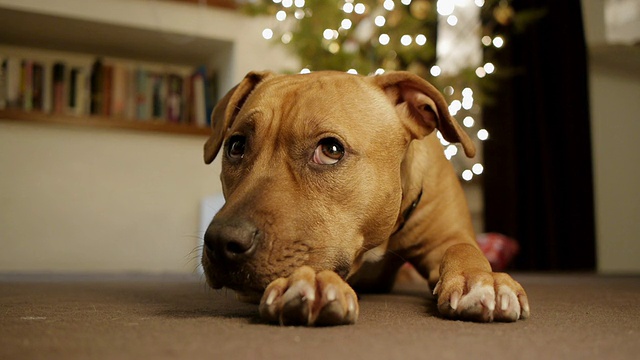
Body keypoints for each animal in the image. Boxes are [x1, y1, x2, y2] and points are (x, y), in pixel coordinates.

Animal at [201, 69, 528, 324]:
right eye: (236, 146)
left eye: (330, 149)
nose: (221, 241)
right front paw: (310, 281)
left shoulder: (446, 238)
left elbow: (463, 250)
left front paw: (482, 281)